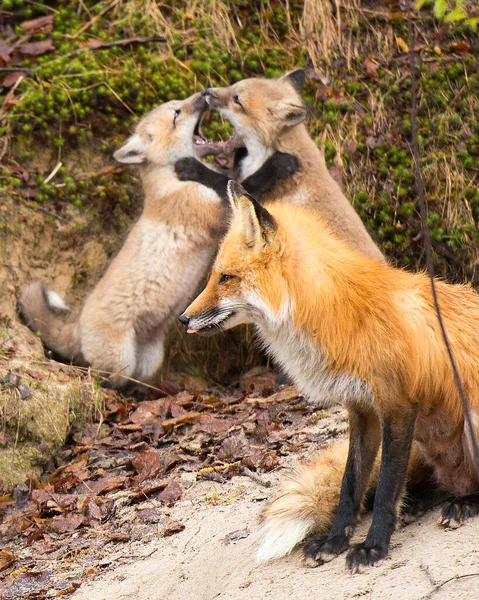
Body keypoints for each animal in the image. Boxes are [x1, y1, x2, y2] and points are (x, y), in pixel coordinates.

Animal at [19, 95, 296, 390]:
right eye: (176, 114)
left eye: (179, 103)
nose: (203, 94)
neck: (170, 183)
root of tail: (76, 326)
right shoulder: (215, 213)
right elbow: (244, 182)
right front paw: (280, 163)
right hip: (120, 360)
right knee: (102, 377)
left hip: (150, 358)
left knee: (134, 381)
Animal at [180, 182, 479, 572]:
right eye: (215, 276)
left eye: (225, 278)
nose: (183, 319)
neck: (337, 310)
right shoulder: (362, 409)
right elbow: (350, 485)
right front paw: (336, 540)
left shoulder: (397, 405)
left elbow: (385, 488)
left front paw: (374, 546)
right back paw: (419, 503)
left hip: (471, 416)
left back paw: (465, 503)